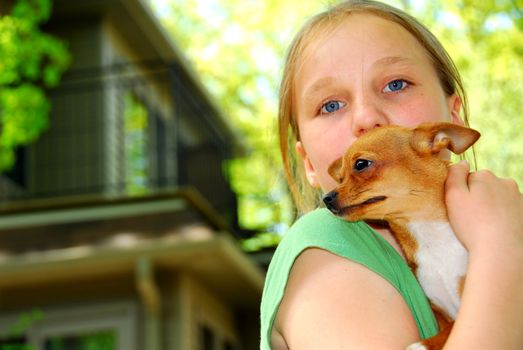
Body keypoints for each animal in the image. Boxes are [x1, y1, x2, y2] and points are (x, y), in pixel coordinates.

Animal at [326, 122, 482, 350]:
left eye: (361, 164)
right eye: (340, 178)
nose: (326, 198)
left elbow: (452, 328)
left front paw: (423, 344)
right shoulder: (440, 313)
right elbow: (450, 326)